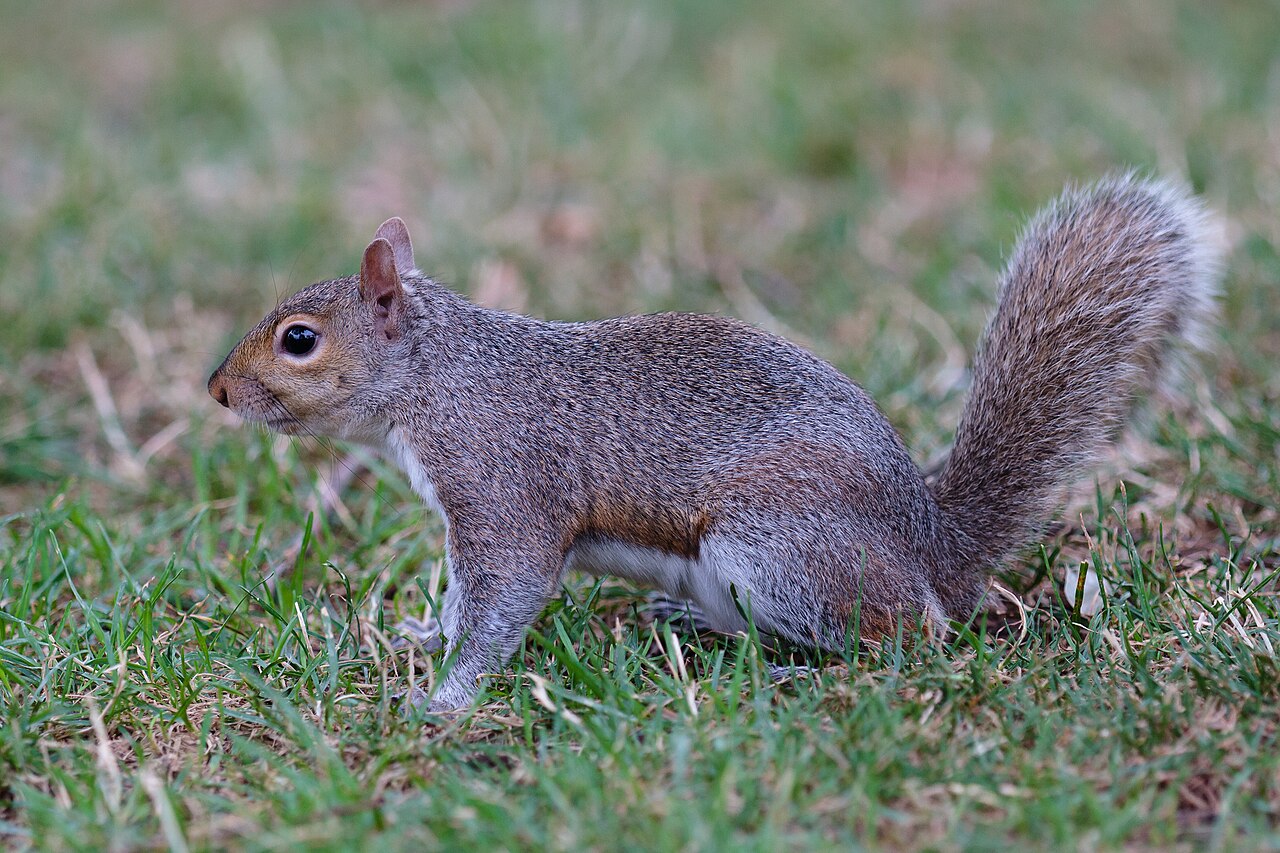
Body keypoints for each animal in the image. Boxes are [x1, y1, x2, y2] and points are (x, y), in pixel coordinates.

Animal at [208, 175, 1219, 712]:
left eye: (300, 338)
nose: (217, 390)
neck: (438, 372)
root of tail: (935, 542)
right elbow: (464, 597)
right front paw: (422, 635)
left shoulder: (503, 484)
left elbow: (506, 596)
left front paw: (444, 699)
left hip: (773, 540)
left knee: (911, 630)